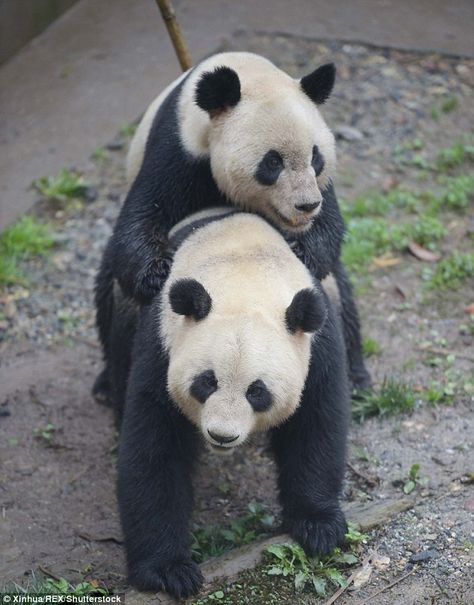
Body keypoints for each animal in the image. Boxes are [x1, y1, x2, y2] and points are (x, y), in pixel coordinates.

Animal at [96, 50, 370, 402]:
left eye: (316, 157)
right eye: (273, 162)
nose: (306, 205)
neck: (246, 73)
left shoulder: (321, 187)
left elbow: (330, 230)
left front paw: (302, 250)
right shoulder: (177, 150)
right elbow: (141, 216)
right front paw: (157, 272)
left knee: (340, 294)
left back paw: (357, 379)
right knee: (110, 288)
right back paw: (105, 385)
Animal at [109, 206, 350, 596]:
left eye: (257, 391)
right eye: (206, 382)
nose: (222, 436)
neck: (244, 276)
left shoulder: (317, 346)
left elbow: (315, 428)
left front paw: (318, 526)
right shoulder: (162, 343)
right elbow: (155, 448)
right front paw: (168, 570)